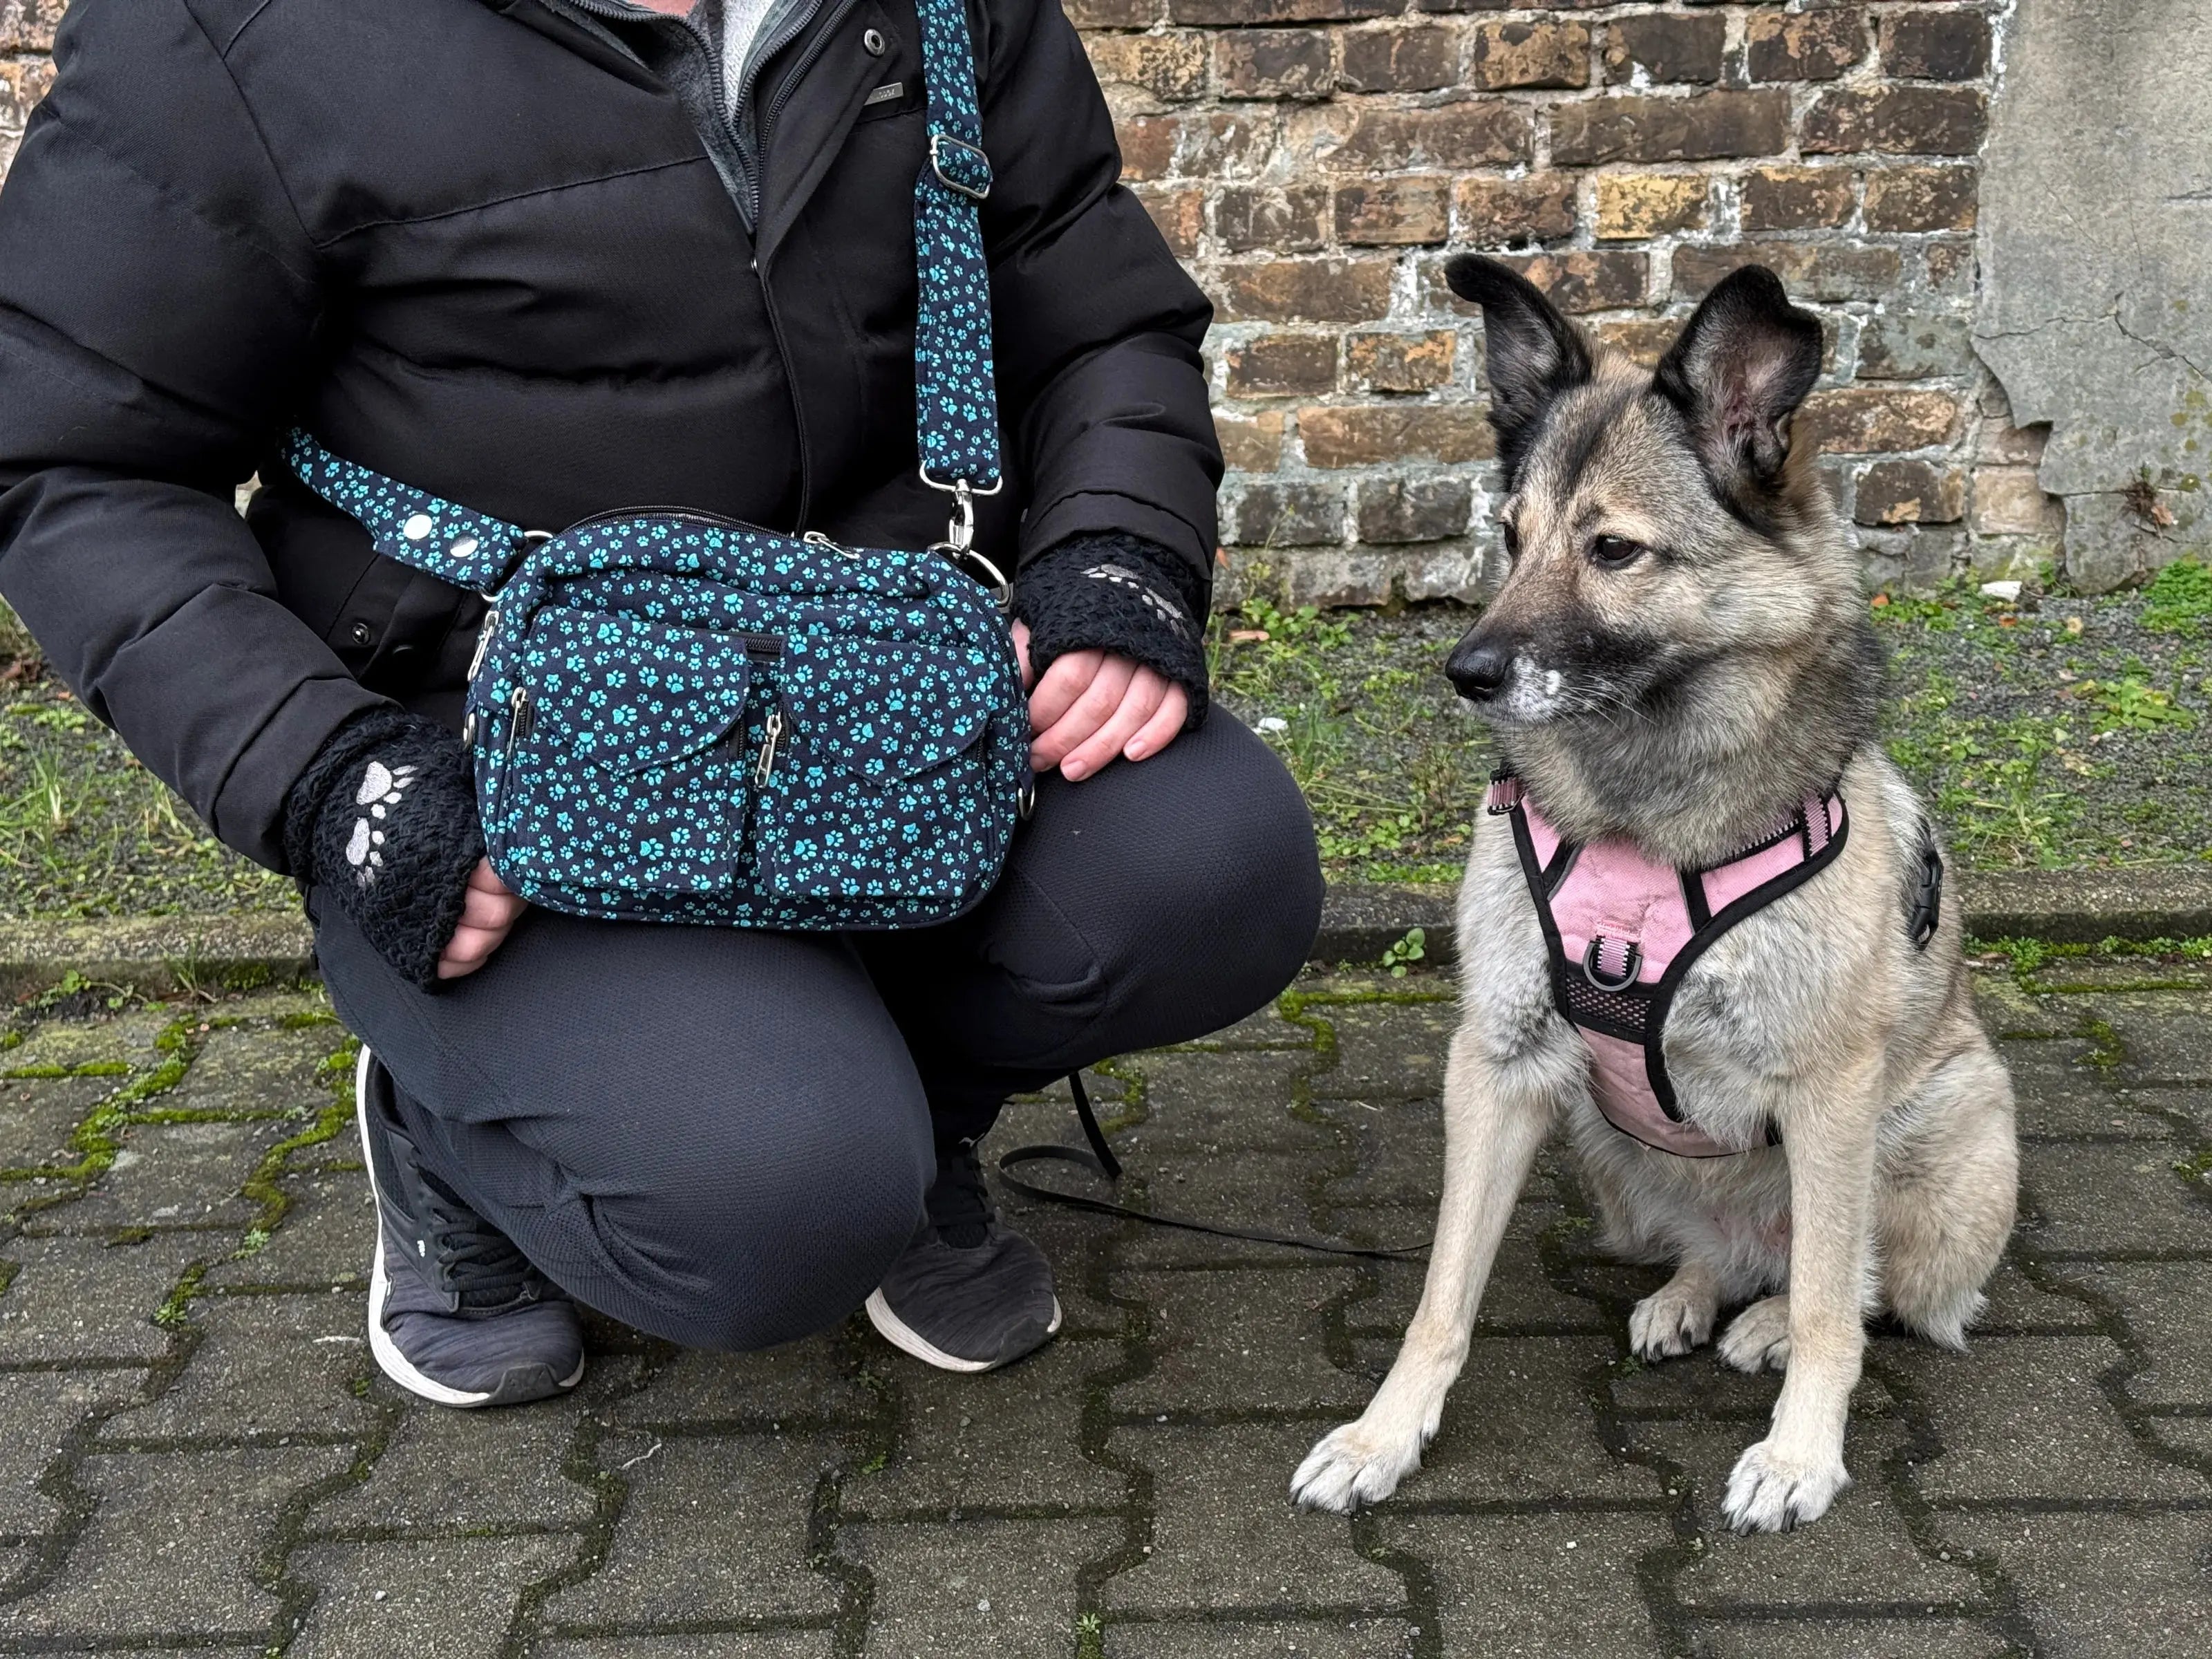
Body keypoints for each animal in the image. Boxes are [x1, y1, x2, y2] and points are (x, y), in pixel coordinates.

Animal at [1291, 256, 2026, 1530]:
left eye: (1615, 551)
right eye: (1512, 536)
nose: (1466, 672)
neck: (1644, 818)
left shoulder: (1828, 1091)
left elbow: (1836, 1306)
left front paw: (1799, 1455)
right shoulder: (1499, 1066)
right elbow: (1441, 1295)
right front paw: (1385, 1437)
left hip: (1938, 1137)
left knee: (1866, 1286)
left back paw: (1769, 1324)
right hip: (1605, 1142)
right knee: (1719, 1253)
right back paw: (1691, 1295)